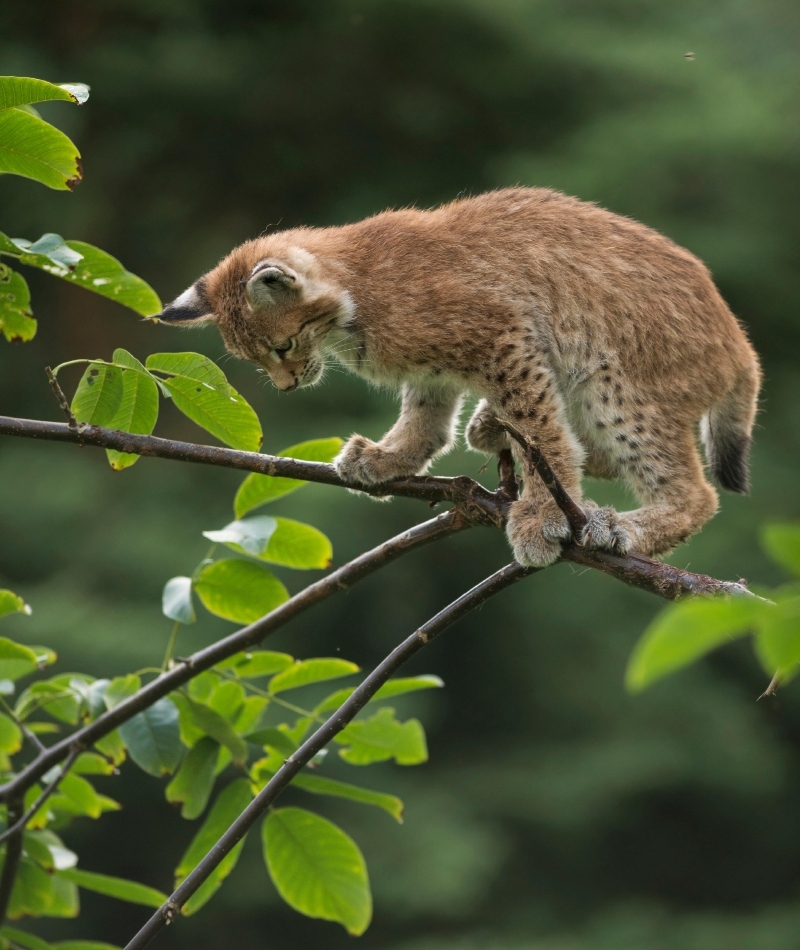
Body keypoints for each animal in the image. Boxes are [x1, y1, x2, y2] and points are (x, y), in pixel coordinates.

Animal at [158, 190, 764, 568]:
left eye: (281, 347)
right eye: (256, 361)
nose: (286, 387)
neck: (354, 294)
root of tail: (743, 342)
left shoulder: (504, 338)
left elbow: (540, 430)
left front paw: (544, 514)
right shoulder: (436, 366)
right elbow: (426, 418)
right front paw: (391, 457)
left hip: (618, 384)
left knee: (696, 494)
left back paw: (619, 526)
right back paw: (494, 429)